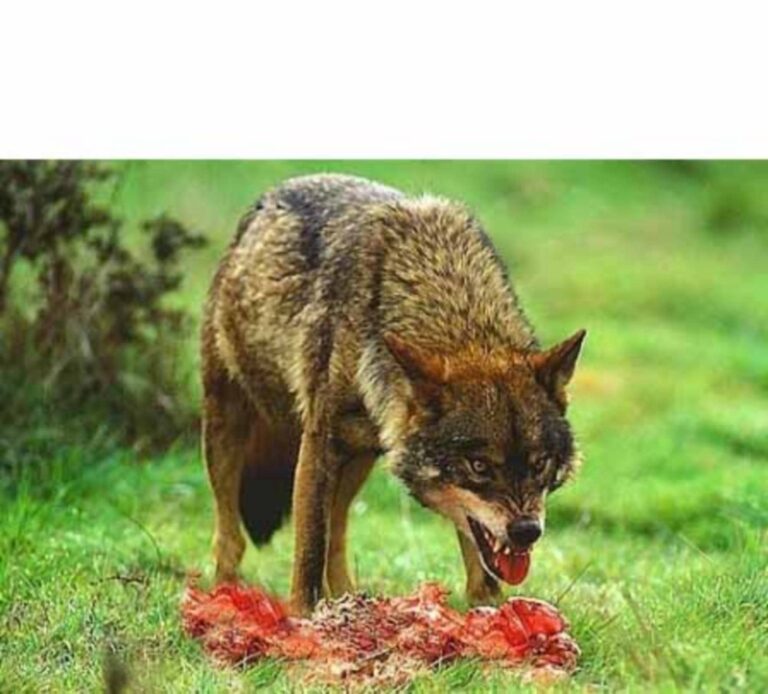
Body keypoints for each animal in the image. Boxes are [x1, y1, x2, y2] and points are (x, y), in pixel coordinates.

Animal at [201, 173, 585, 615]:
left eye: (539, 464)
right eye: (478, 466)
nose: (526, 531)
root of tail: (269, 197)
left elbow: (481, 560)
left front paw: (489, 612)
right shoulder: (318, 443)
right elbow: (310, 548)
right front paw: (301, 616)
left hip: (357, 463)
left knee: (337, 537)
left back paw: (350, 599)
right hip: (228, 431)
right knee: (232, 535)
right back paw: (226, 594)